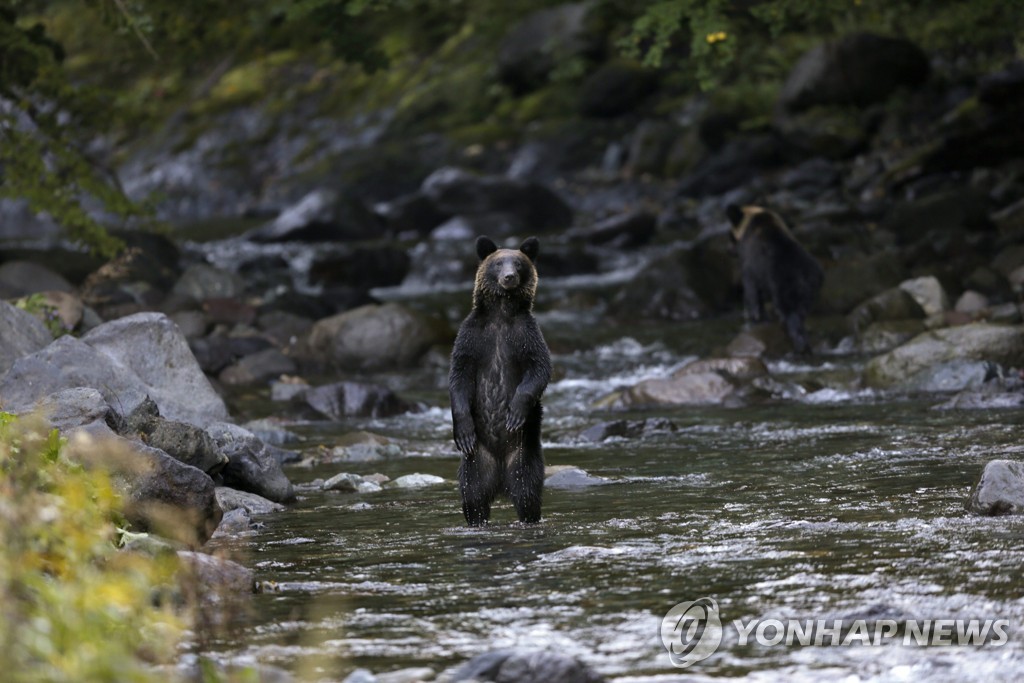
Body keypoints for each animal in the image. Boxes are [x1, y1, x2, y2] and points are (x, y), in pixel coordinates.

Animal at [448, 237, 552, 528]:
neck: (501, 314)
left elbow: (539, 369)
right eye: (497, 263)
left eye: (517, 263)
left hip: (523, 455)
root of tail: (500, 480)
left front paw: (515, 413)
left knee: (528, 492)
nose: (509, 277)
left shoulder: (525, 336)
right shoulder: (472, 338)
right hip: (475, 462)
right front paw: (462, 430)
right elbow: (458, 377)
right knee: (473, 498)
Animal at [729, 204, 823, 356]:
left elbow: (752, 295)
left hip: (784, 287)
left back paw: (799, 346)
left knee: (790, 316)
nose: (728, 250)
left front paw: (756, 319)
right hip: (810, 290)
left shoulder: (749, 270)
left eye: (729, 235)